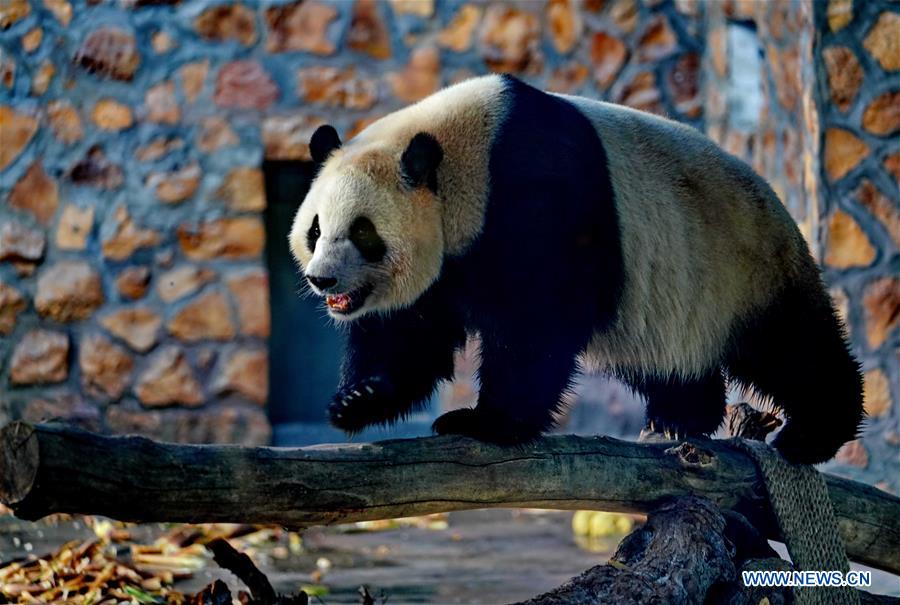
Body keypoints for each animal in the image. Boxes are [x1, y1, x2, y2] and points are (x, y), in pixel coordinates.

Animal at [289, 74, 864, 465]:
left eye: (364, 232)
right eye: (315, 229)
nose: (323, 280)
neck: (461, 158)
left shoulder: (531, 200)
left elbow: (536, 324)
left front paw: (485, 421)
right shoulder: (446, 263)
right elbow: (410, 331)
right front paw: (358, 398)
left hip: (746, 264)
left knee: (792, 347)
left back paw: (812, 433)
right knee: (677, 358)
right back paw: (680, 417)